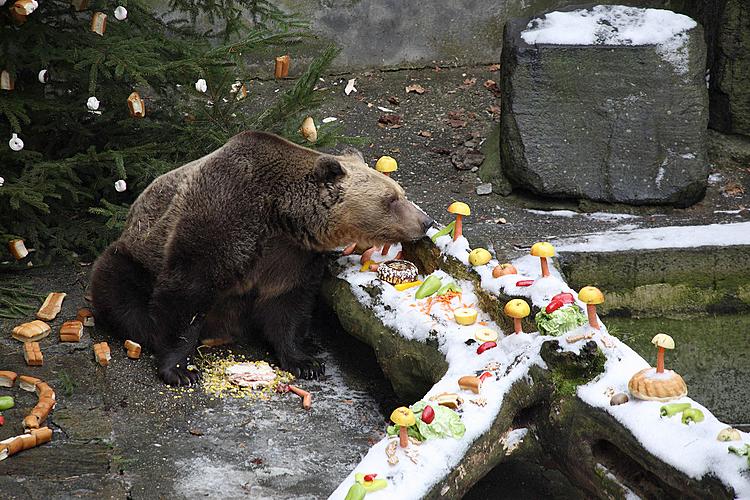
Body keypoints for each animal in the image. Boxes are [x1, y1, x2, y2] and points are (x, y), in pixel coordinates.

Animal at [90, 131, 432, 384]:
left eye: (399, 192)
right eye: (391, 199)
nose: (425, 221)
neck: (281, 217)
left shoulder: (294, 258)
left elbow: (288, 305)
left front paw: (306, 361)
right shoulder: (222, 219)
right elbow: (186, 292)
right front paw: (180, 370)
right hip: (134, 255)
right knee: (117, 287)